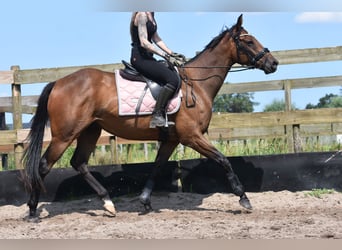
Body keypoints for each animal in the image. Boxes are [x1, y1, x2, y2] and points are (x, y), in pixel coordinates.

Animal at [22, 14, 278, 218]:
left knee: (79, 162)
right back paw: (33, 210)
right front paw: (244, 198)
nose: (273, 63)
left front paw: (145, 201)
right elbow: (223, 160)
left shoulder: (172, 139)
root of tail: (58, 83)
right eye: (248, 41)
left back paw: (108, 203)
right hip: (64, 135)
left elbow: (157, 167)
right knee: (44, 165)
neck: (196, 84)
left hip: (90, 130)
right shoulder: (192, 136)